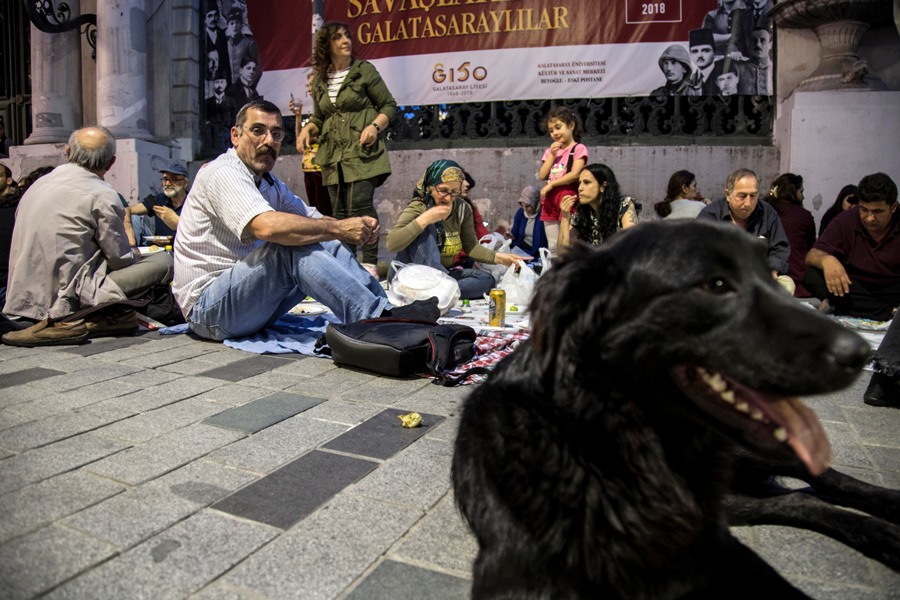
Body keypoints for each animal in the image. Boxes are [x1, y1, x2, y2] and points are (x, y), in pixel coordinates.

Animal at [450, 221, 880, 600]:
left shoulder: (714, 547)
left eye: (771, 276)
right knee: (798, 499)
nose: (861, 353)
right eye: (715, 285)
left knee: (822, 479)